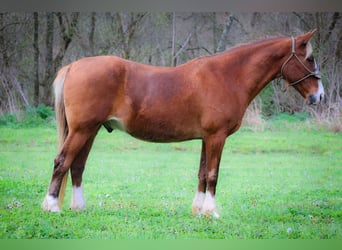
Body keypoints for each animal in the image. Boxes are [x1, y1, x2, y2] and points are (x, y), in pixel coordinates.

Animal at [42, 30, 324, 217]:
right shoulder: (216, 137)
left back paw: (78, 206)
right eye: (309, 59)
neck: (228, 76)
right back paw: (52, 206)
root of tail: (74, 66)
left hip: (90, 130)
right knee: (62, 162)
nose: (319, 96)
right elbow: (213, 175)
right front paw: (212, 212)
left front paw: (198, 210)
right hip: (82, 130)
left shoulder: (206, 138)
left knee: (77, 166)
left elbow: (201, 174)